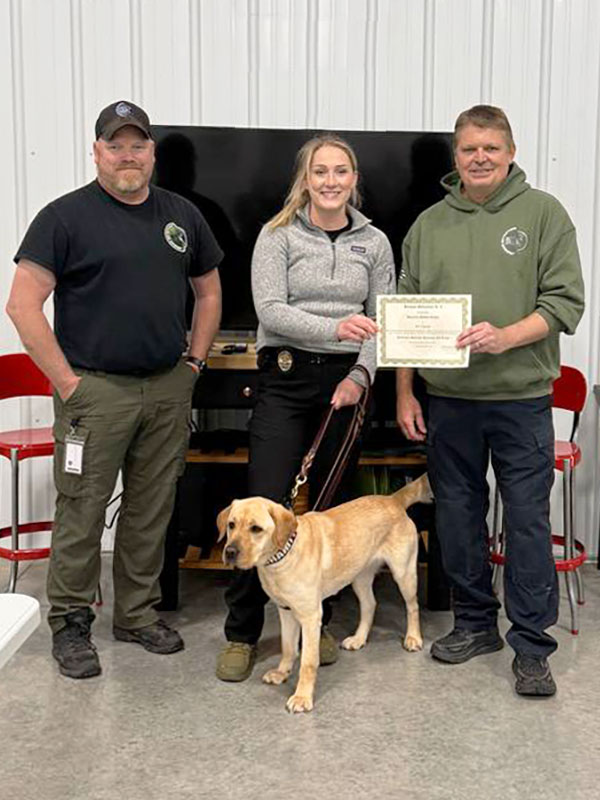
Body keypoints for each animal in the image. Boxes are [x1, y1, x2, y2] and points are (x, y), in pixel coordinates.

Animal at [216, 476, 432, 712]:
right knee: (370, 605)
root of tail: (393, 500)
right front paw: (282, 673)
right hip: (359, 577)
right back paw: (359, 639)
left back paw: (413, 638)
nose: (230, 552)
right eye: (231, 525)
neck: (282, 556)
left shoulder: (311, 617)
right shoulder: (285, 610)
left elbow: (308, 662)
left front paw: (302, 696)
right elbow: (288, 648)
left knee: (413, 607)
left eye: (256, 528)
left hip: (404, 573)